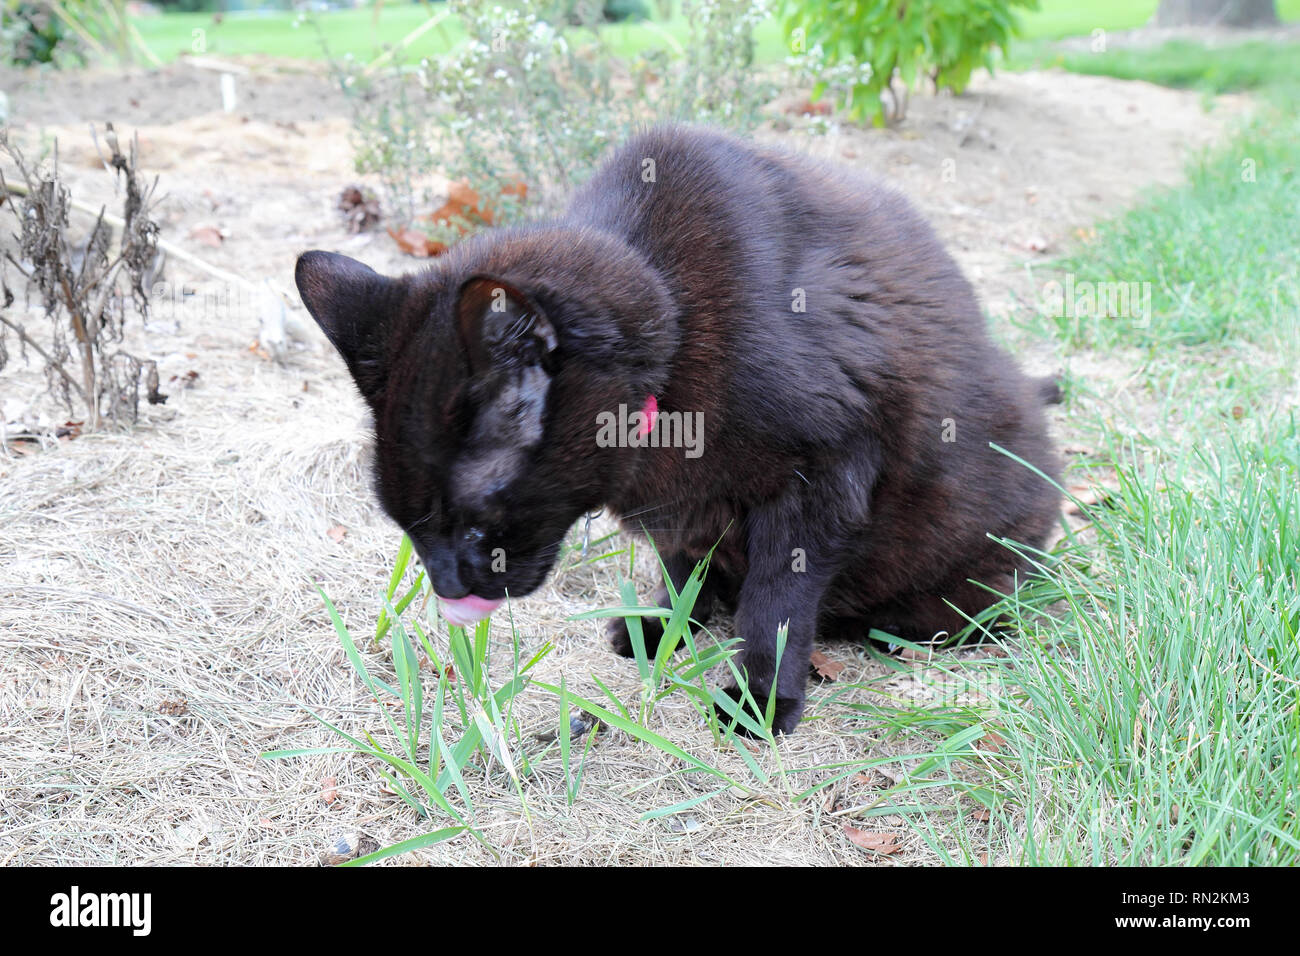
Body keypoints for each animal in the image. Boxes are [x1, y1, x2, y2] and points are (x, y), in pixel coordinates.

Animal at [295, 123, 1055, 738]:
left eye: (476, 525)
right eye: (406, 527)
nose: (449, 590)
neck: (674, 324)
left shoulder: (823, 479)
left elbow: (778, 602)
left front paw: (759, 697)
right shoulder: (684, 507)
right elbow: (681, 564)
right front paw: (666, 625)